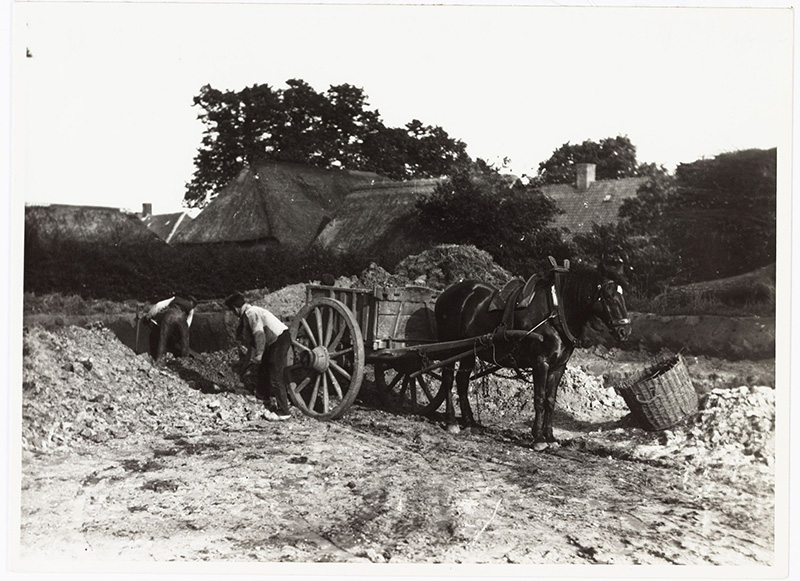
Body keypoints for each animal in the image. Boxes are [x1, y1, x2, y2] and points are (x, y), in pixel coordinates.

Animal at [432, 258, 632, 448]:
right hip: (450, 346)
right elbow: (539, 399)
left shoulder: (558, 366)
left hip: (468, 351)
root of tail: (446, 293)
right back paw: (451, 421)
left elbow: (550, 401)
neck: (556, 313)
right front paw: (538, 438)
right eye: (608, 295)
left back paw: (470, 421)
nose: (625, 331)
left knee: (462, 381)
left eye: (623, 294)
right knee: (448, 378)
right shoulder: (540, 363)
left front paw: (550, 436)